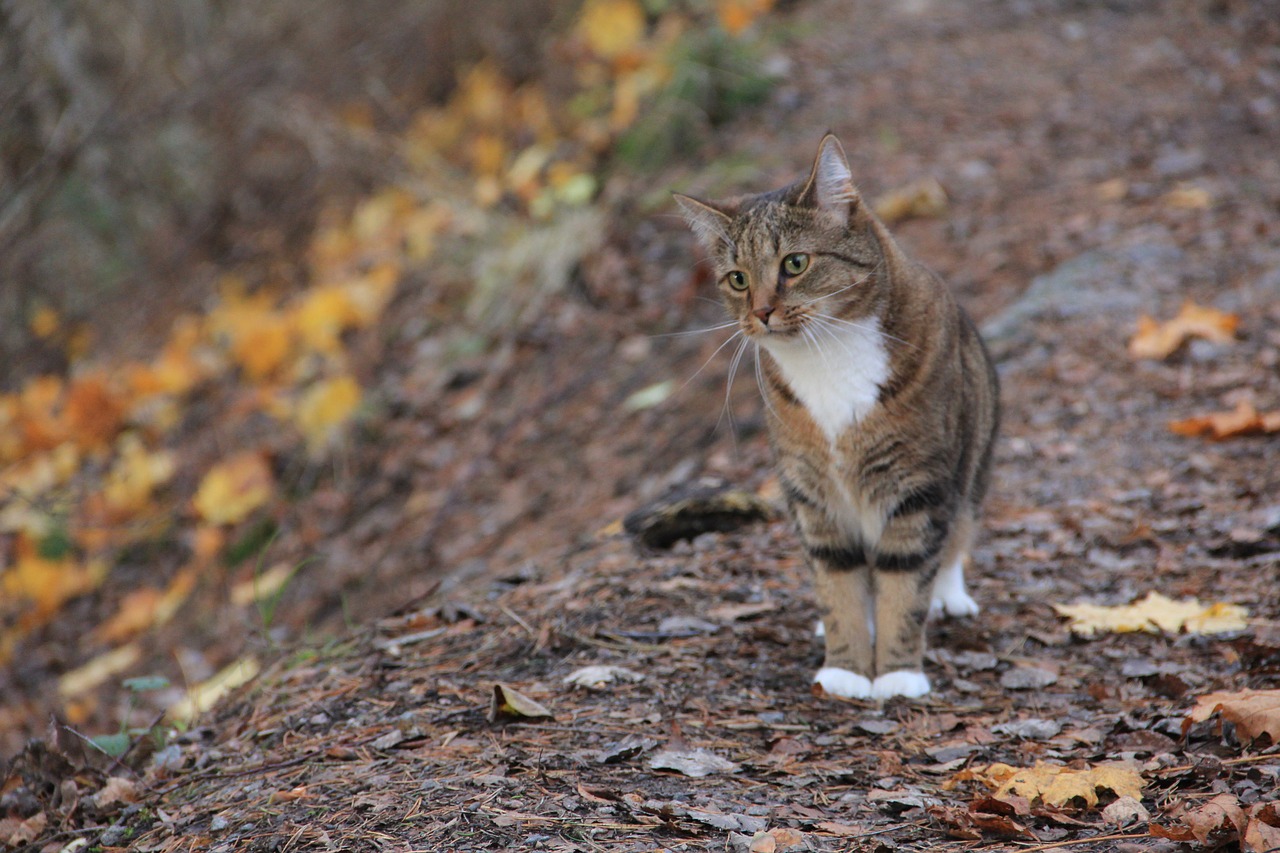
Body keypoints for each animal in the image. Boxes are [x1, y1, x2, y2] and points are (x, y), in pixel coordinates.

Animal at [675, 136, 993, 696]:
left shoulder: (919, 486)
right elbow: (837, 580)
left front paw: (897, 674)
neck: (826, 358)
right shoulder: (810, 492)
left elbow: (905, 582)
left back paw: (948, 595)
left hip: (975, 455)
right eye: (737, 279)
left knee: (957, 533)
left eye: (795, 263)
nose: (760, 312)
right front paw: (845, 669)